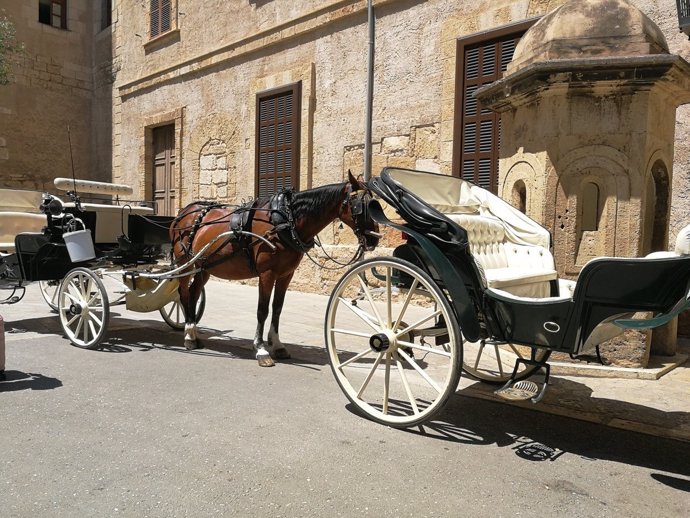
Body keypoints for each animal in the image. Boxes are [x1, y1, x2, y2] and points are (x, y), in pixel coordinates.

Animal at [169, 173, 378, 368]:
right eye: (361, 205)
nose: (375, 238)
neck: (286, 221)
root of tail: (183, 213)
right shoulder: (267, 273)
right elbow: (262, 310)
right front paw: (261, 349)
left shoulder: (286, 274)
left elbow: (277, 308)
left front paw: (277, 345)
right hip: (185, 262)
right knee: (184, 293)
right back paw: (188, 336)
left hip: (204, 266)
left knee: (194, 293)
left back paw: (193, 333)